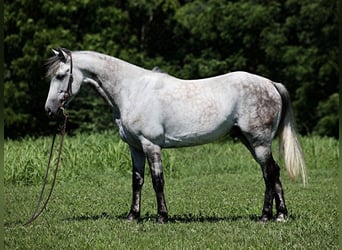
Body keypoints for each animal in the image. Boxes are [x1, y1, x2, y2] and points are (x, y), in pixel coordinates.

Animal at [44, 47, 306, 224]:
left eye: (61, 75)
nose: (49, 110)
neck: (132, 90)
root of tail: (271, 83)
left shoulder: (151, 145)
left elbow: (157, 181)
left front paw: (162, 216)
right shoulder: (135, 148)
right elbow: (137, 181)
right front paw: (132, 216)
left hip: (258, 142)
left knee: (270, 173)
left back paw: (265, 216)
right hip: (250, 141)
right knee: (272, 172)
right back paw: (280, 215)